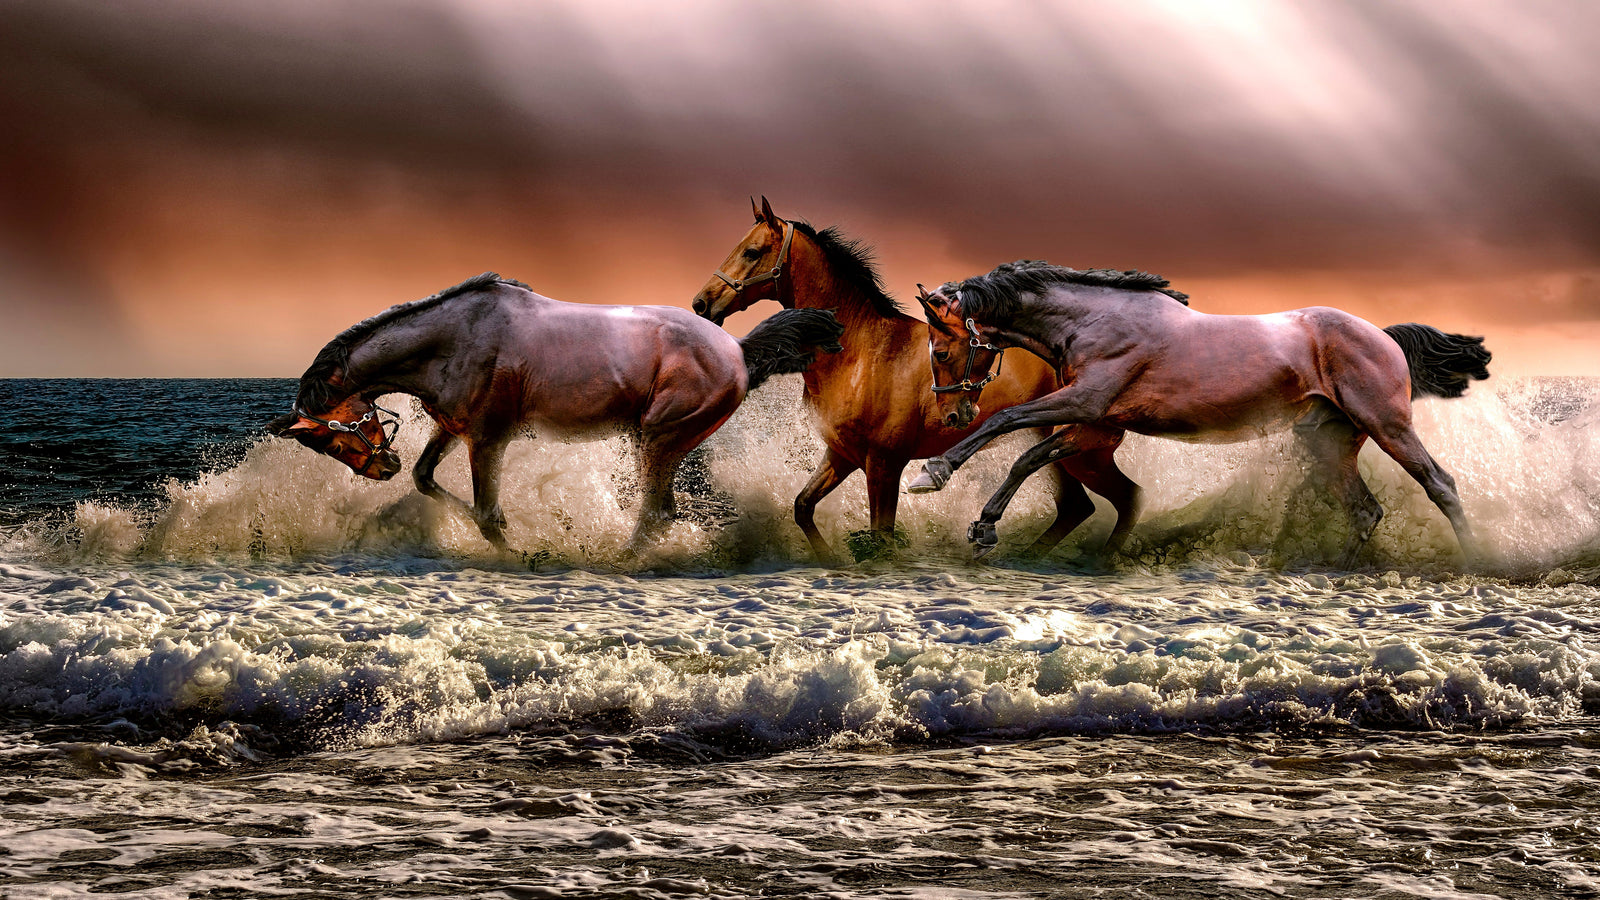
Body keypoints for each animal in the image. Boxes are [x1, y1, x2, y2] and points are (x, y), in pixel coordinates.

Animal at [267, 272, 843, 553]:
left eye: (333, 431)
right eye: (322, 444)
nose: (380, 468)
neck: (454, 339)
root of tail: (739, 351)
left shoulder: (489, 438)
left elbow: (487, 514)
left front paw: (517, 550)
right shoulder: (452, 428)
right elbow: (426, 478)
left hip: (658, 438)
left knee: (655, 514)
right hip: (660, 444)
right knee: (661, 513)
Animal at [691, 197, 1142, 561]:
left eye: (751, 251)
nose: (701, 303)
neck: (862, 353)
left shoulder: (884, 464)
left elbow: (881, 537)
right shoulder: (841, 456)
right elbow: (803, 507)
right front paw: (830, 561)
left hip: (1082, 452)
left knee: (1123, 499)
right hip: (1062, 453)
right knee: (1079, 507)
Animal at [908, 260, 1492, 564]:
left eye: (941, 351)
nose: (954, 412)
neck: (1094, 320)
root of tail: (1383, 336)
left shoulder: (1086, 403)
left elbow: (1005, 423)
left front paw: (933, 474)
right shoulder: (1096, 424)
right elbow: (1028, 457)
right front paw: (984, 525)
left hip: (1386, 425)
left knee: (1440, 485)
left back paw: (1478, 559)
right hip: (1329, 443)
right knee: (1365, 510)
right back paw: (1332, 574)